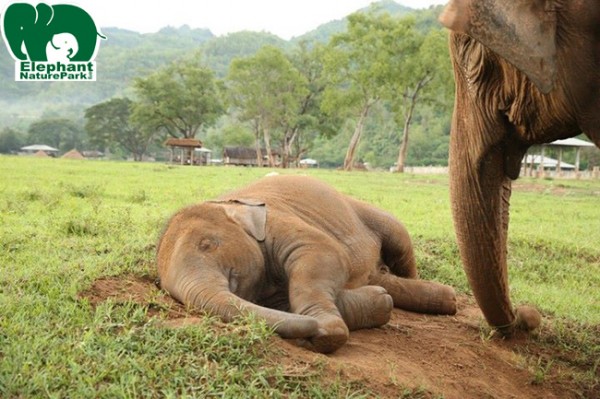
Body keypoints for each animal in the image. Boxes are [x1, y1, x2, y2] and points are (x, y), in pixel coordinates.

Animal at [157, 176, 458, 354]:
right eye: (168, 291)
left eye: (207, 244)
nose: (315, 330)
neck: (226, 204)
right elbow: (281, 305)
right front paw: (378, 303)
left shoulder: (279, 219)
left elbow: (325, 253)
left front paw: (327, 332)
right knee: (381, 277)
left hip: (372, 215)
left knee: (400, 245)